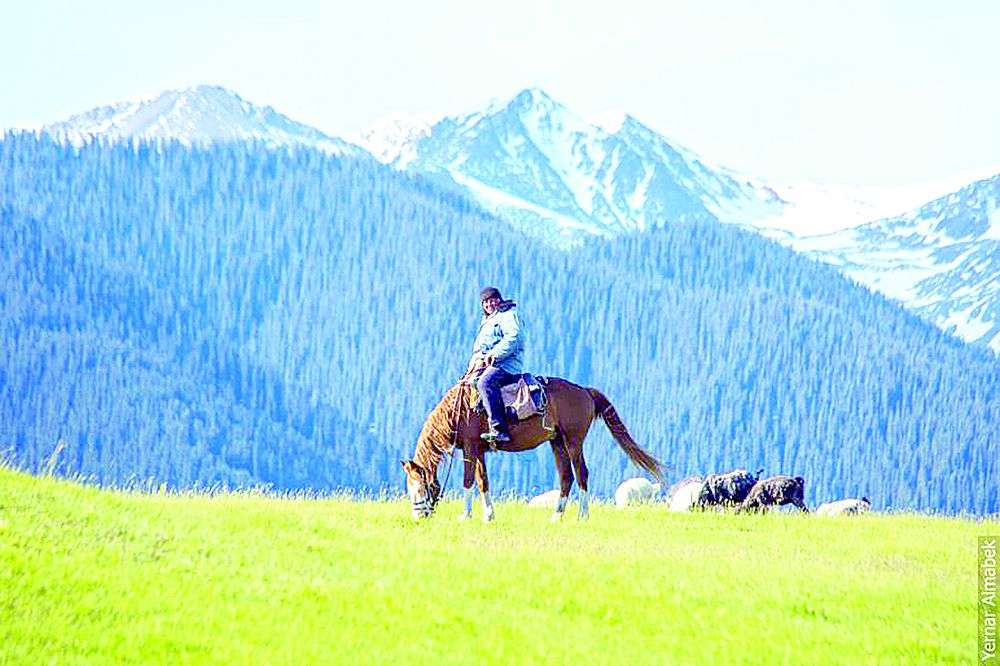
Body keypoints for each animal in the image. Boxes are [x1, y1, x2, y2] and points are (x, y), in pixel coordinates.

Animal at [398, 376, 664, 520]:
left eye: (419, 488)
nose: (418, 516)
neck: (459, 411)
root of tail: (585, 391)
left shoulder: (470, 448)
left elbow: (468, 481)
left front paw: (465, 516)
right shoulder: (480, 450)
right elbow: (483, 482)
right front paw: (488, 515)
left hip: (573, 441)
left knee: (581, 473)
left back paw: (582, 514)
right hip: (557, 442)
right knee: (566, 476)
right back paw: (557, 515)